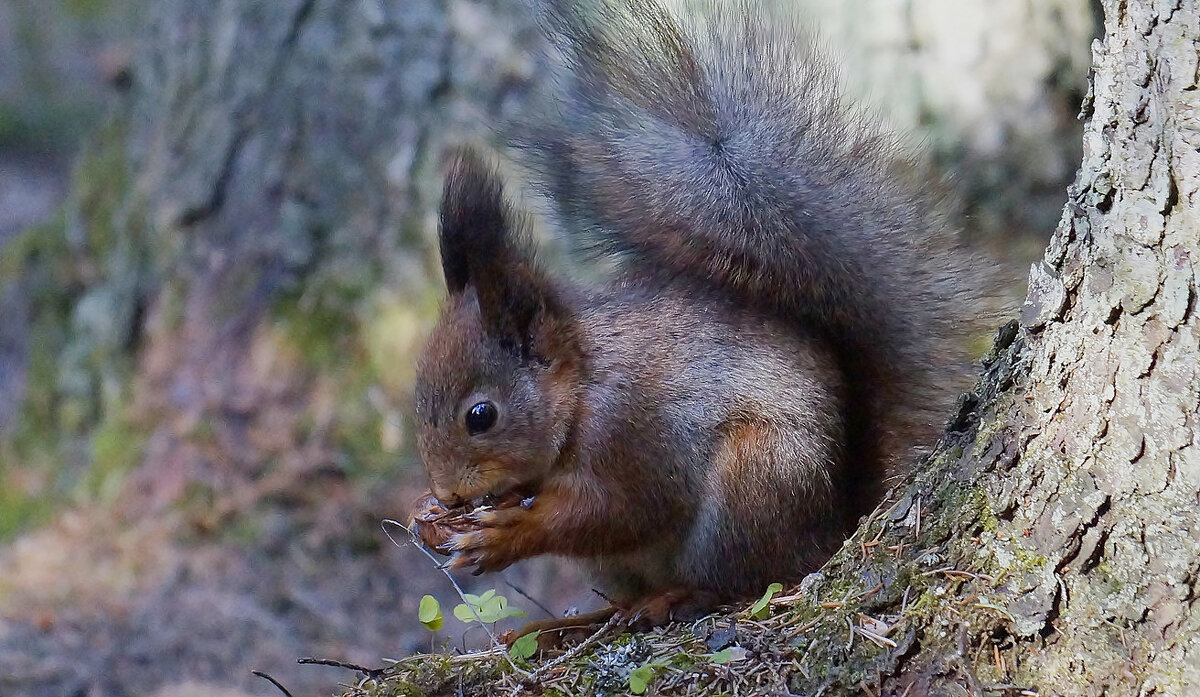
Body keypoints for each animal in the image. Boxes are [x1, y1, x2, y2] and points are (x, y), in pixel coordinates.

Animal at [408, 0, 988, 628]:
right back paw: (570, 624)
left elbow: (622, 509)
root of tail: (836, 523)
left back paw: (676, 598)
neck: (582, 390)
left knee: (743, 580)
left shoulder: (633, 433)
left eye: (481, 415)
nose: (448, 494)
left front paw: (505, 535)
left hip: (752, 486)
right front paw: (427, 515)